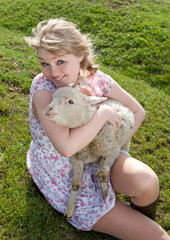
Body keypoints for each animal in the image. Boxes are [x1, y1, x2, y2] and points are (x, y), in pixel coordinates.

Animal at [43, 86, 134, 221]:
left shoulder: (112, 151)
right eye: (53, 97)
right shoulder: (76, 159)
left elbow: (101, 174)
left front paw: (105, 193)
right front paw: (70, 208)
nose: (48, 108)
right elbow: (75, 184)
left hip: (126, 141)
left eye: (70, 101)